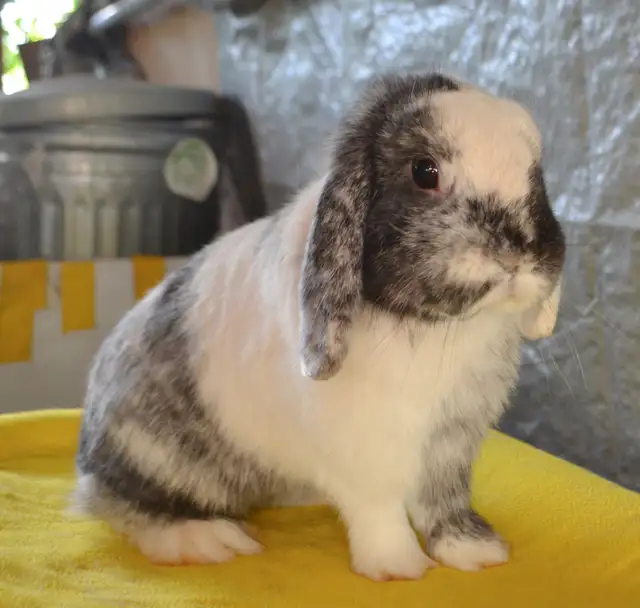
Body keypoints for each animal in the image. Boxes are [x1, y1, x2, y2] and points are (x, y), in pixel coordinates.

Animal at [72, 72, 565, 582]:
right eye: (424, 171)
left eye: (537, 176)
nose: (517, 253)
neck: (438, 327)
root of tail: (89, 450)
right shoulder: (366, 450)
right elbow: (380, 511)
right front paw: (398, 569)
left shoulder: (449, 445)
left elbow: (443, 502)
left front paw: (477, 551)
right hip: (156, 457)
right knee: (125, 506)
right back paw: (204, 539)